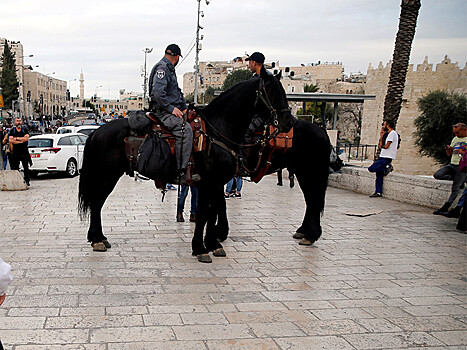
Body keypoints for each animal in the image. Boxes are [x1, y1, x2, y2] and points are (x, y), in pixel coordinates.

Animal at [78, 69, 330, 262]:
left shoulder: (215, 182)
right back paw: (97, 239)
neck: (218, 130)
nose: (288, 122)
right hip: (107, 175)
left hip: (306, 171)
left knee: (312, 199)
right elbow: (208, 212)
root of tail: (96, 132)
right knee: (97, 203)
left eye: (285, 92)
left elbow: (210, 211)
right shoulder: (210, 182)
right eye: (271, 92)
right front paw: (203, 246)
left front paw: (212, 243)